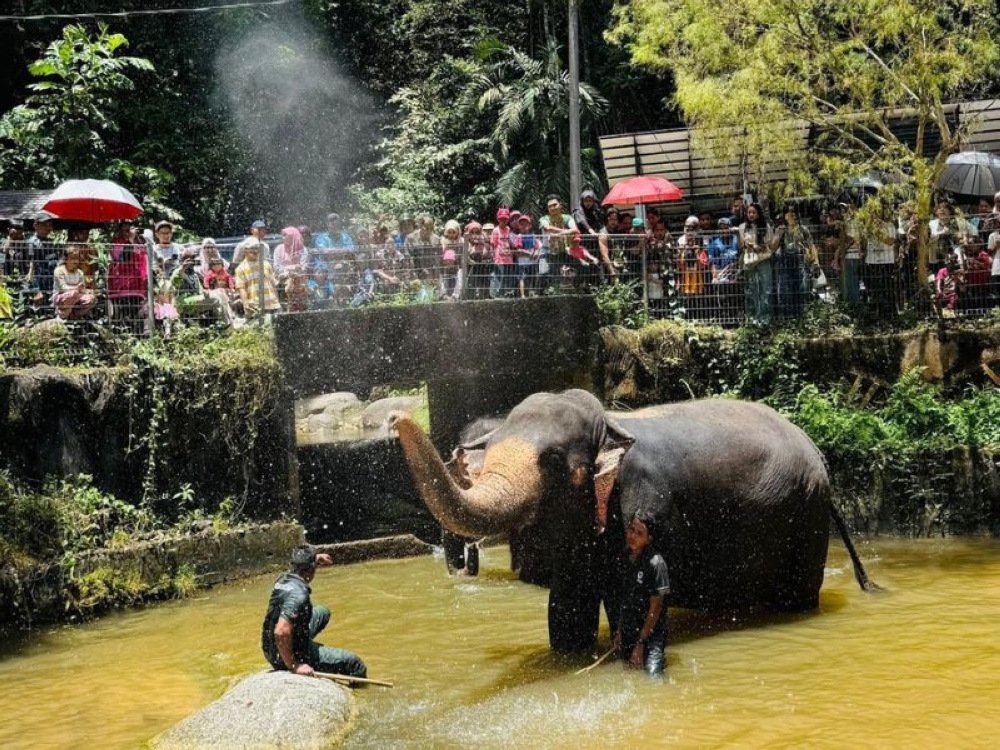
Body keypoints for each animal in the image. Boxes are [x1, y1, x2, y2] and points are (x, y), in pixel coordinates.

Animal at [389, 389, 876, 653]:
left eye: (552, 460)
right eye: (487, 453)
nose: (396, 417)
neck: (610, 424)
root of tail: (819, 454)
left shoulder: (645, 506)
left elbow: (633, 601)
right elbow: (567, 610)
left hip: (805, 516)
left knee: (795, 595)